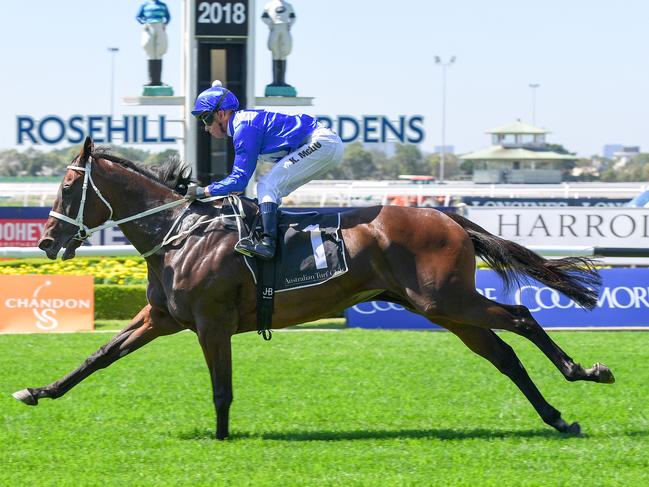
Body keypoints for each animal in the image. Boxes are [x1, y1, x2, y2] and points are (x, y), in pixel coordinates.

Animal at [13, 137, 612, 438]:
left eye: (68, 185)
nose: (46, 242)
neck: (181, 232)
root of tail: (446, 215)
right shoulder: (162, 319)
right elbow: (98, 356)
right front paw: (37, 391)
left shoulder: (210, 324)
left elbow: (221, 388)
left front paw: (222, 438)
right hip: (442, 309)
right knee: (503, 353)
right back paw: (557, 418)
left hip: (445, 298)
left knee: (521, 318)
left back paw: (584, 371)